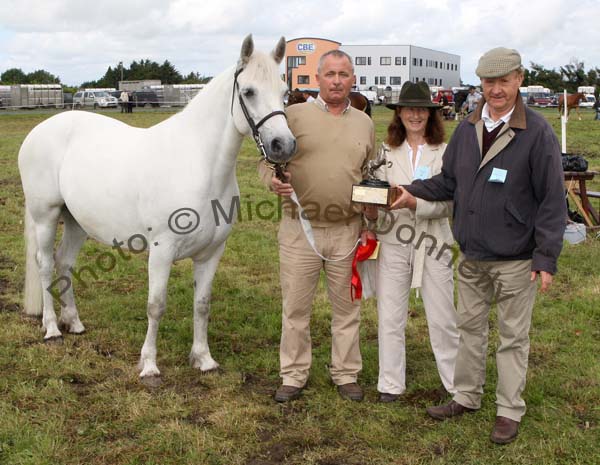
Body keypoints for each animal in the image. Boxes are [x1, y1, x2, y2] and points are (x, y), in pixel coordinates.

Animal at [19, 34, 296, 378]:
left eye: (285, 92)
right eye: (249, 92)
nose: (283, 146)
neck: (199, 164)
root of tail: (39, 131)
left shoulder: (211, 253)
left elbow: (202, 305)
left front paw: (204, 359)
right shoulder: (162, 250)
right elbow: (156, 306)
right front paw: (149, 365)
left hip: (76, 222)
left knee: (64, 262)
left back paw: (74, 322)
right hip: (45, 216)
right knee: (44, 265)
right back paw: (52, 328)